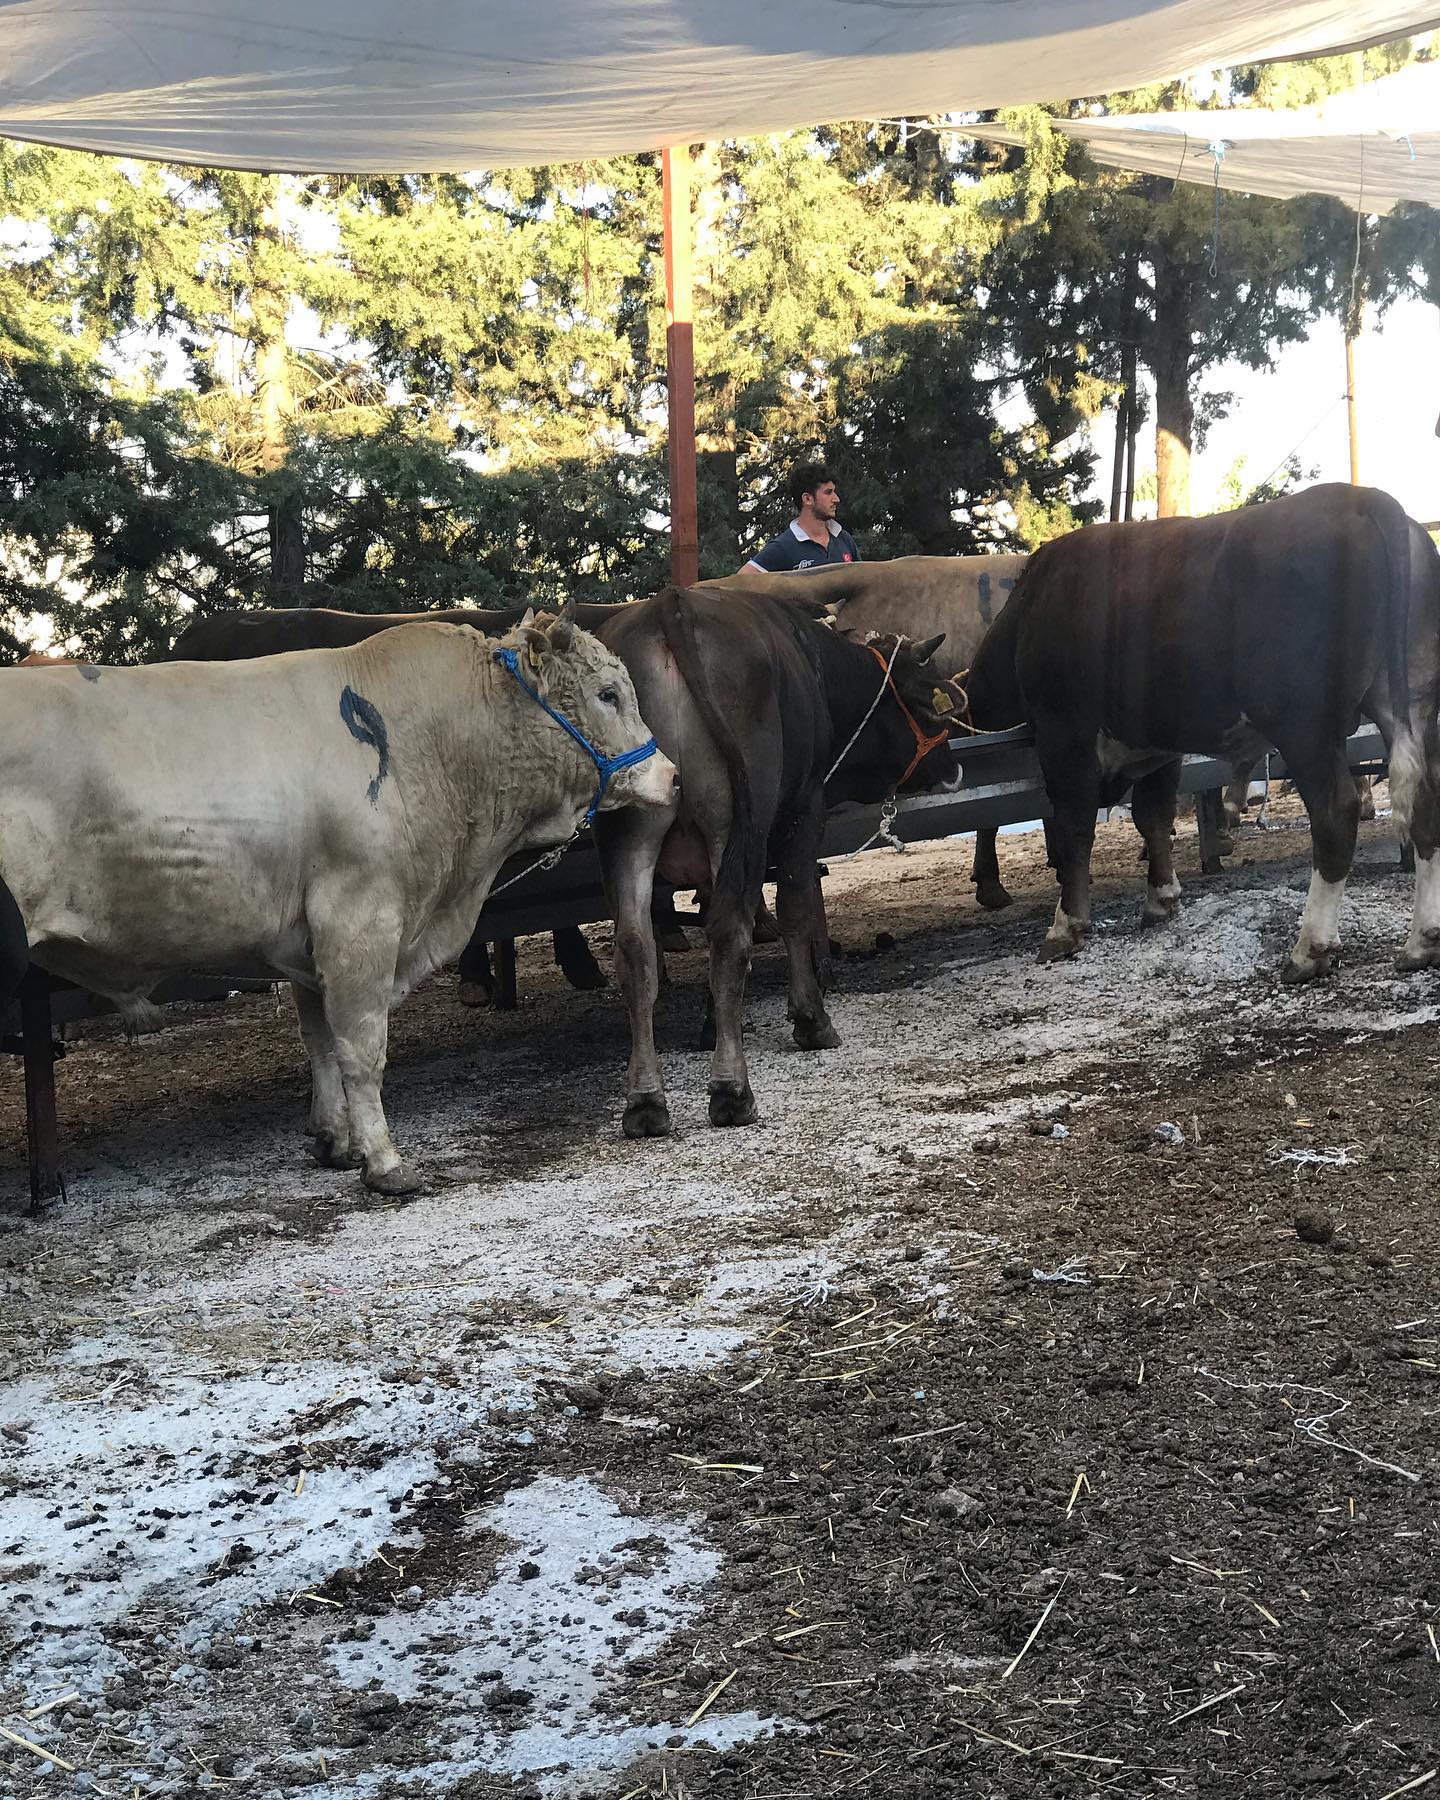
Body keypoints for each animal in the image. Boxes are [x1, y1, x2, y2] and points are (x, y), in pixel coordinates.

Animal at [0, 607, 677, 1193]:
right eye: (608, 693)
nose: (672, 776)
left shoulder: (305, 940)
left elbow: (318, 1040)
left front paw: (335, 1140)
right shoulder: (360, 921)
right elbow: (361, 1048)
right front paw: (384, 1161)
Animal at [594, 586, 964, 1136]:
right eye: (927, 702)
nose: (954, 767)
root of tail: (670, 604)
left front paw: (712, 1024)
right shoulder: (805, 807)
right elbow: (795, 908)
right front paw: (811, 1017)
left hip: (628, 832)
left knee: (637, 949)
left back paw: (645, 1102)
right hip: (740, 819)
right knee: (731, 932)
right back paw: (732, 1091)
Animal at [962, 485, 1440, 981]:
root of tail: (1362, 497)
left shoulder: (1064, 731)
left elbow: (1075, 827)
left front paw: (1065, 927)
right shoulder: (1155, 743)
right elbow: (1153, 817)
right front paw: (1161, 900)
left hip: (1304, 724)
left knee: (1335, 814)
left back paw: (1310, 949)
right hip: (1414, 701)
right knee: (1426, 800)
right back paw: (1421, 942)